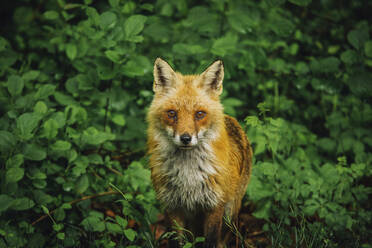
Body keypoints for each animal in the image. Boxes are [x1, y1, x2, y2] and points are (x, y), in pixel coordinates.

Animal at [146, 58, 253, 248]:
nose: (185, 138)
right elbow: (176, 241)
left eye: (200, 114)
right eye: (172, 113)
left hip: (230, 211)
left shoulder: (214, 205)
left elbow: (210, 240)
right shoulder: (173, 206)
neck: (189, 175)